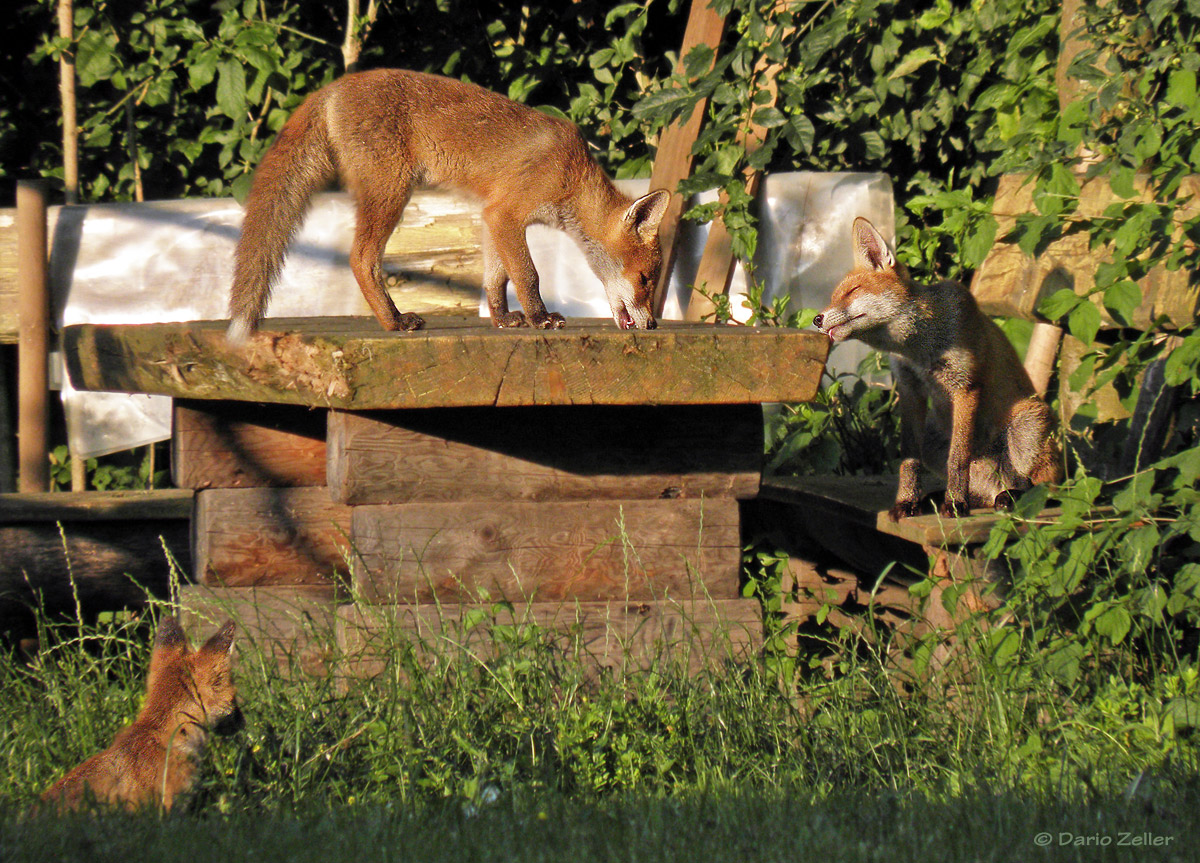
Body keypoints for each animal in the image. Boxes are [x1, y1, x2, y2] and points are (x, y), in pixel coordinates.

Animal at [226, 68, 676, 340]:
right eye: (645, 279)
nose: (653, 324)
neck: (573, 173)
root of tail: (334, 86)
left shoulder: (492, 215)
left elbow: (496, 279)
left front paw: (503, 319)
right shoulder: (507, 213)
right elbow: (527, 275)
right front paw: (540, 318)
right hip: (391, 192)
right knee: (361, 259)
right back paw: (393, 321)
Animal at [816, 219, 1060, 523]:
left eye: (853, 291)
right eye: (832, 298)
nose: (816, 319)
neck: (918, 352)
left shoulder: (966, 385)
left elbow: (958, 457)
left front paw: (955, 504)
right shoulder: (910, 390)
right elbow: (909, 459)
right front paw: (907, 501)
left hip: (1028, 425)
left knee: (1047, 488)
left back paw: (1012, 496)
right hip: (934, 439)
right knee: (986, 493)